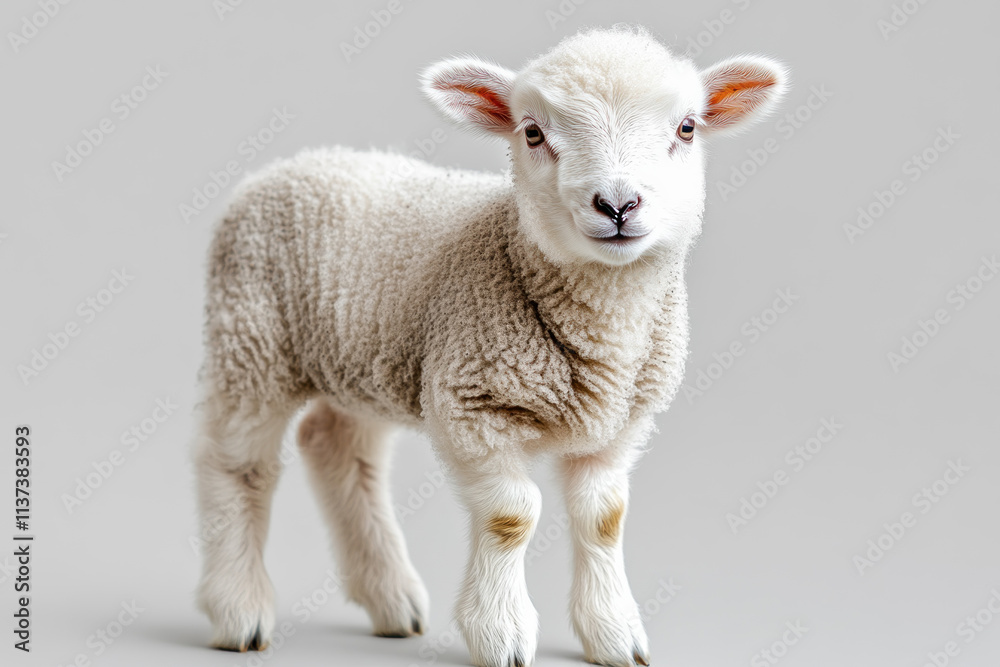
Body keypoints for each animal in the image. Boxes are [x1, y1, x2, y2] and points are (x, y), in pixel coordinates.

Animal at [193, 25, 786, 667]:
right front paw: (501, 633)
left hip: (364, 355)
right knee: (237, 464)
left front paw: (613, 633)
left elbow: (604, 518)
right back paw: (239, 607)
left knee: (337, 446)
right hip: (252, 339)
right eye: (532, 132)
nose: (617, 205)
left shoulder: (621, 423)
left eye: (687, 128)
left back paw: (390, 598)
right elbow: (511, 517)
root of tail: (292, 162)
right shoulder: (473, 403)